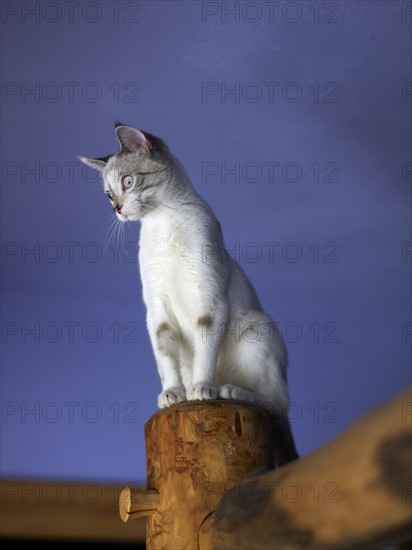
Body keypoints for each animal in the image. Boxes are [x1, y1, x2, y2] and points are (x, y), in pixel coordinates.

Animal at [79, 125, 298, 466]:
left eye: (128, 182)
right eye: (108, 195)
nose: (117, 209)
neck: (162, 224)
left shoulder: (208, 299)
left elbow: (204, 352)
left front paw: (200, 388)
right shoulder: (156, 309)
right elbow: (165, 357)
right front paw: (173, 393)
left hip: (257, 331)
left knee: (277, 403)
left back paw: (228, 391)